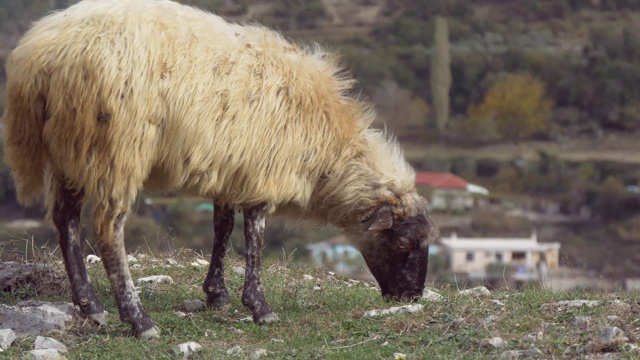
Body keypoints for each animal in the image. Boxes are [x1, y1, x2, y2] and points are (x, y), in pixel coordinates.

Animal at [1, 0, 436, 338]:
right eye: (402, 244)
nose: (413, 296)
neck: (329, 149)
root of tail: (39, 58)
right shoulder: (262, 171)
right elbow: (254, 237)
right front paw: (259, 306)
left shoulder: (231, 169)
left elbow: (222, 228)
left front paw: (217, 295)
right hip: (114, 149)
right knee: (108, 231)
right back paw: (138, 320)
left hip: (70, 150)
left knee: (66, 222)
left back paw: (91, 306)